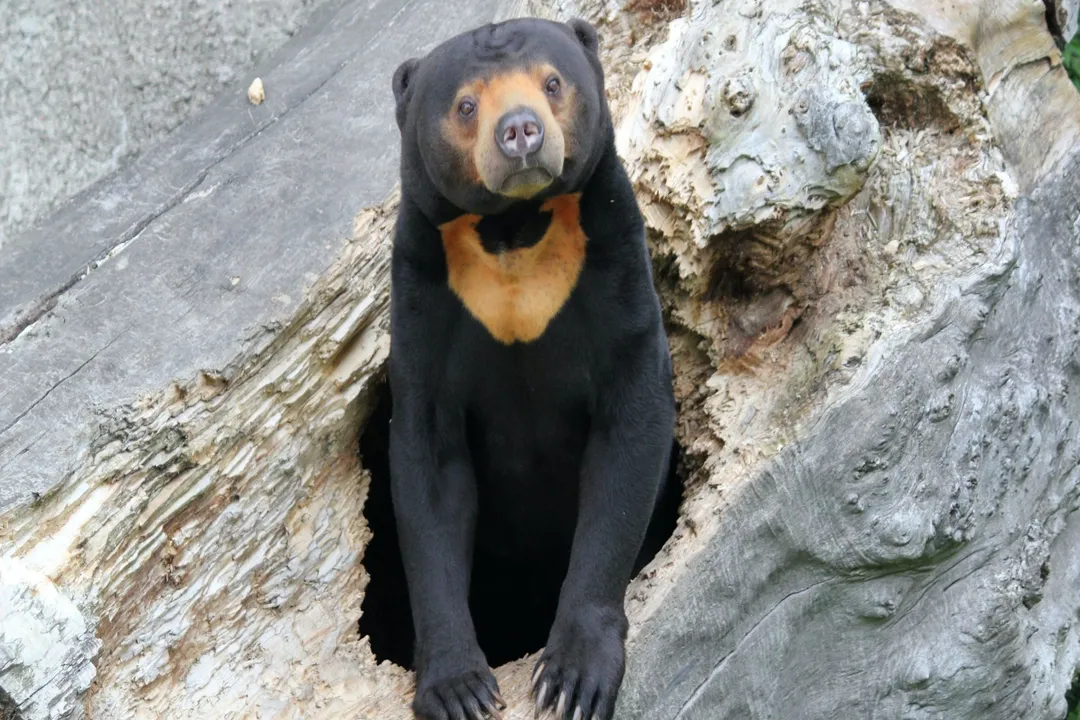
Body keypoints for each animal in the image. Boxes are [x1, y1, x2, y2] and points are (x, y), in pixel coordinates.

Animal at [387, 16, 676, 720]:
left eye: (552, 83)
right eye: (466, 106)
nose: (520, 130)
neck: (513, 230)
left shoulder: (611, 257)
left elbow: (629, 434)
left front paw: (572, 678)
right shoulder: (423, 292)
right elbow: (429, 476)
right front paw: (458, 690)